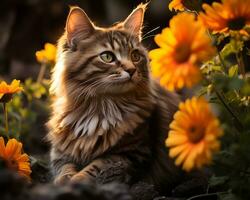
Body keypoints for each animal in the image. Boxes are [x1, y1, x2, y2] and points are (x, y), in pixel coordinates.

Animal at [46, 3, 207, 197]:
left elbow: (95, 168)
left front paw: (77, 182)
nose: (131, 70)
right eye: (107, 57)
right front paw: (62, 183)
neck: (100, 107)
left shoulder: (131, 154)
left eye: (135, 56)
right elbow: (63, 170)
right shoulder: (61, 153)